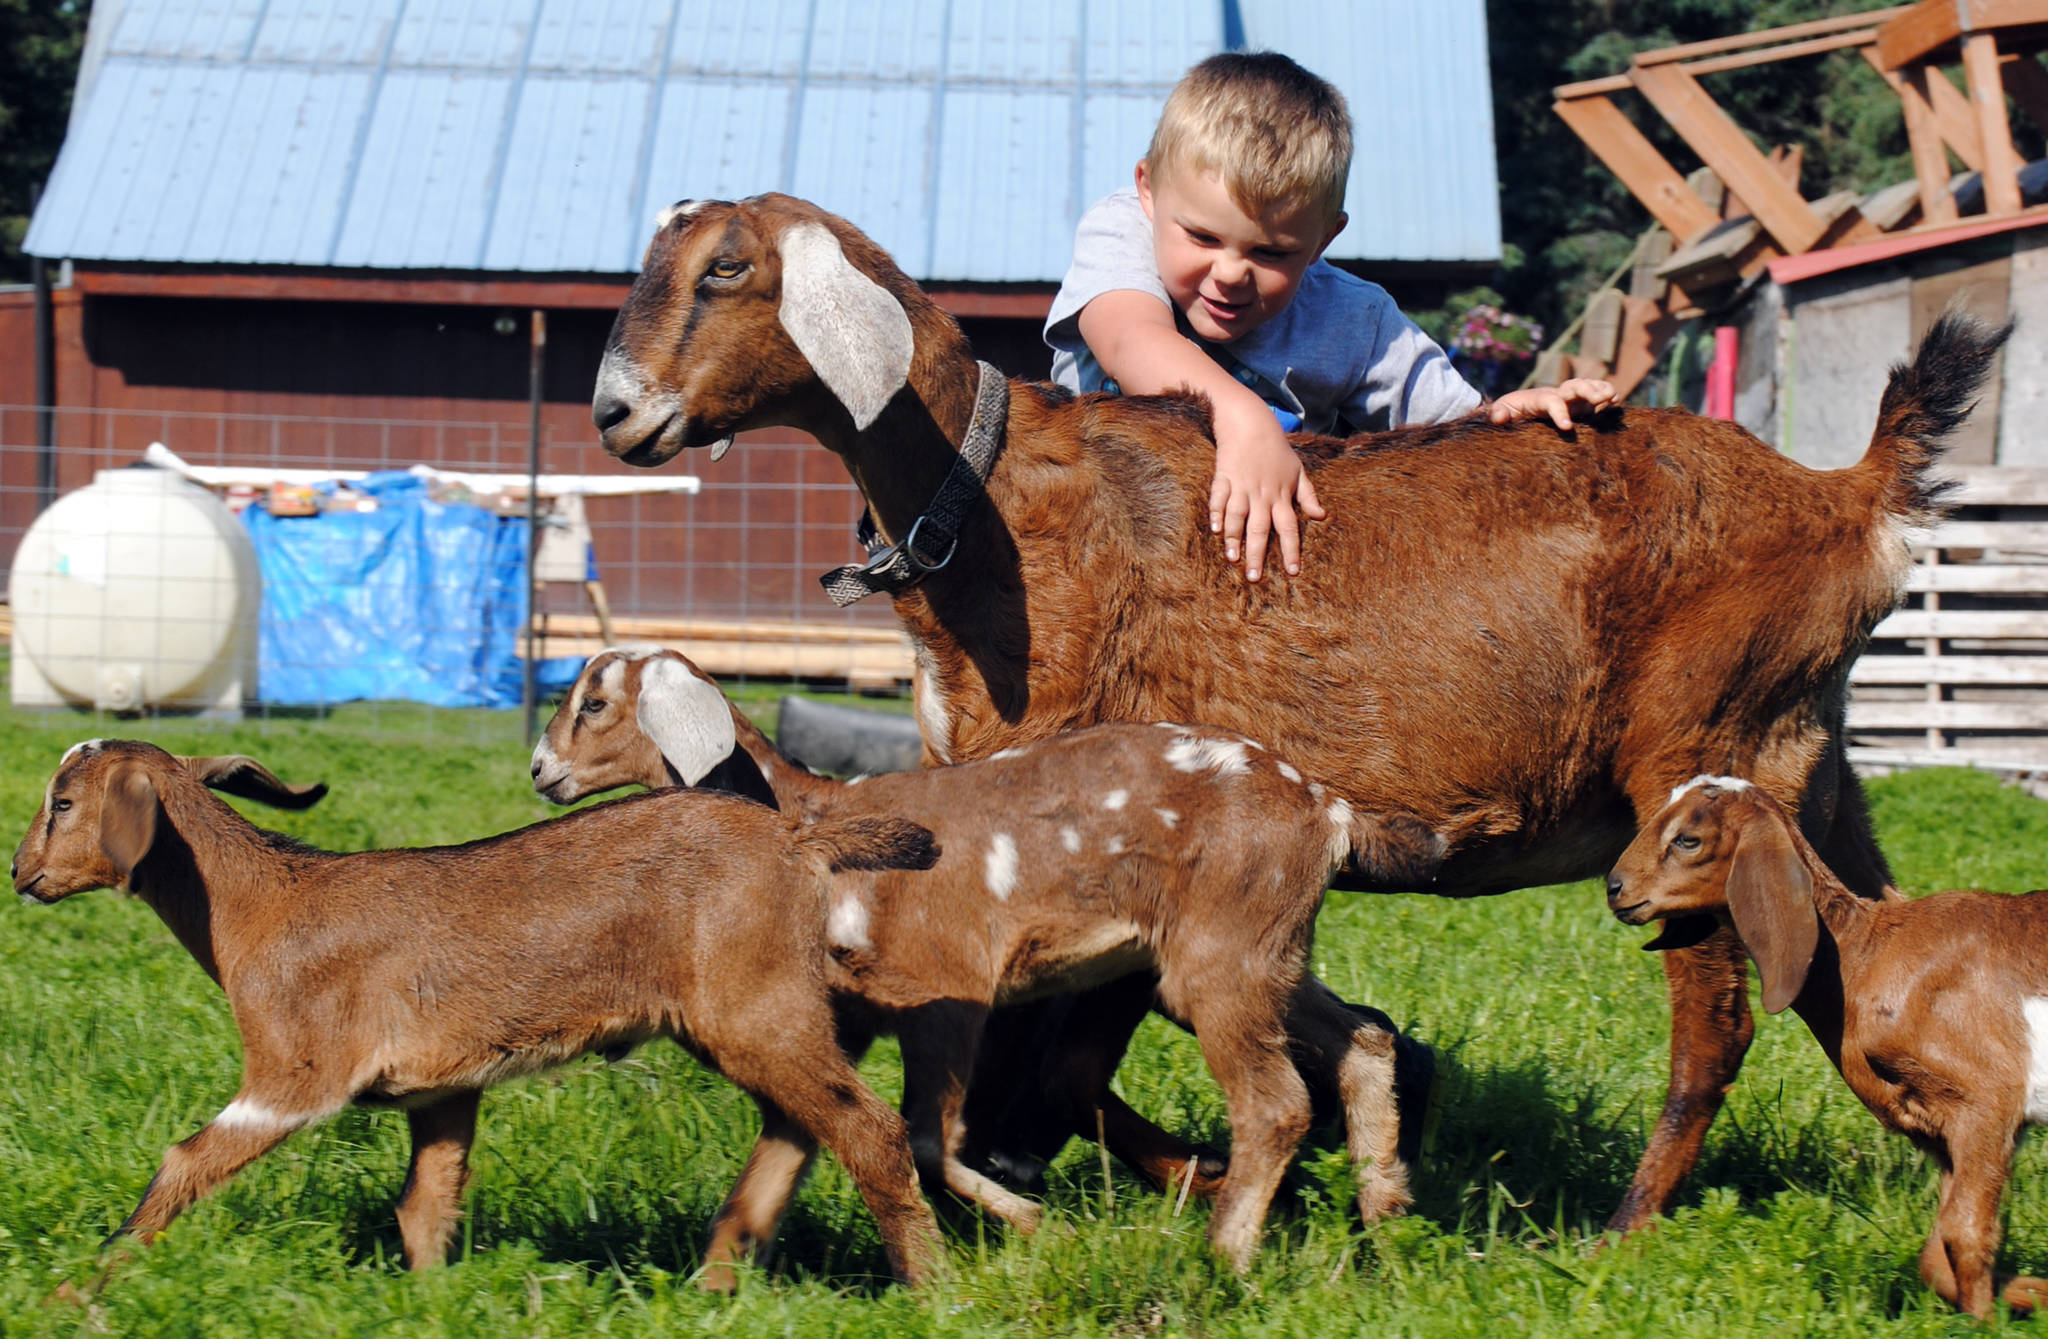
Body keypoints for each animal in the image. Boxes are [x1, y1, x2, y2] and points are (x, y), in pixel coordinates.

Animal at [8, 745, 946, 1293]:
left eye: (62, 803)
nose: (20, 873)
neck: (262, 907)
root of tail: (798, 841)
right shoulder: (440, 1090)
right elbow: (425, 1205)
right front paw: (432, 1303)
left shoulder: (294, 1072)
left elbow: (183, 1162)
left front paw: (84, 1287)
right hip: (752, 1019)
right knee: (799, 1123)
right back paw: (715, 1276)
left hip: (758, 1009)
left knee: (868, 1129)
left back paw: (928, 1289)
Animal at [536, 646, 1449, 1277]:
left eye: (594, 702)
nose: (542, 771)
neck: (814, 817)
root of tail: (1326, 811)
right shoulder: (845, 1017)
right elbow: (792, 1146)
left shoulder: (947, 991)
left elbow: (930, 1140)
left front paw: (1047, 1228)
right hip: (1268, 950)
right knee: (1365, 1039)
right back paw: (1385, 1211)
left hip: (1224, 958)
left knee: (1275, 1104)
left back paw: (1224, 1255)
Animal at [589, 191, 1998, 1236]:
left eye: (724, 269)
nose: (614, 410)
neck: (993, 500)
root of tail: (1843, 494)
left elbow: (1055, 1054)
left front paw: (1185, 1182)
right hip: (1808, 767)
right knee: (1859, 952)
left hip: (1701, 770)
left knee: (1717, 1018)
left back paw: (1625, 1223)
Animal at [1605, 782, 2048, 1318]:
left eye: (1688, 839)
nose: (1615, 888)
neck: (1868, 955)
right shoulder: (1939, 1129)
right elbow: (1938, 1253)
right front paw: (2029, 1292)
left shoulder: (1989, 1102)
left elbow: (1968, 1236)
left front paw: (1987, 1320)